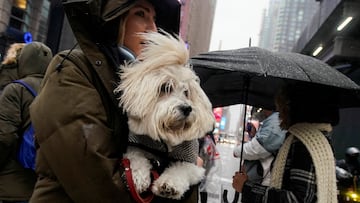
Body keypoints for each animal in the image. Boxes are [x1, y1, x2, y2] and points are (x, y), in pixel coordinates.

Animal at [114, 31, 214, 200]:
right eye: (166, 87)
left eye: (186, 92)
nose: (187, 108)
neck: (167, 138)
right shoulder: (136, 147)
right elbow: (136, 158)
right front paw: (137, 177)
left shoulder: (193, 164)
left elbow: (181, 168)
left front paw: (169, 185)